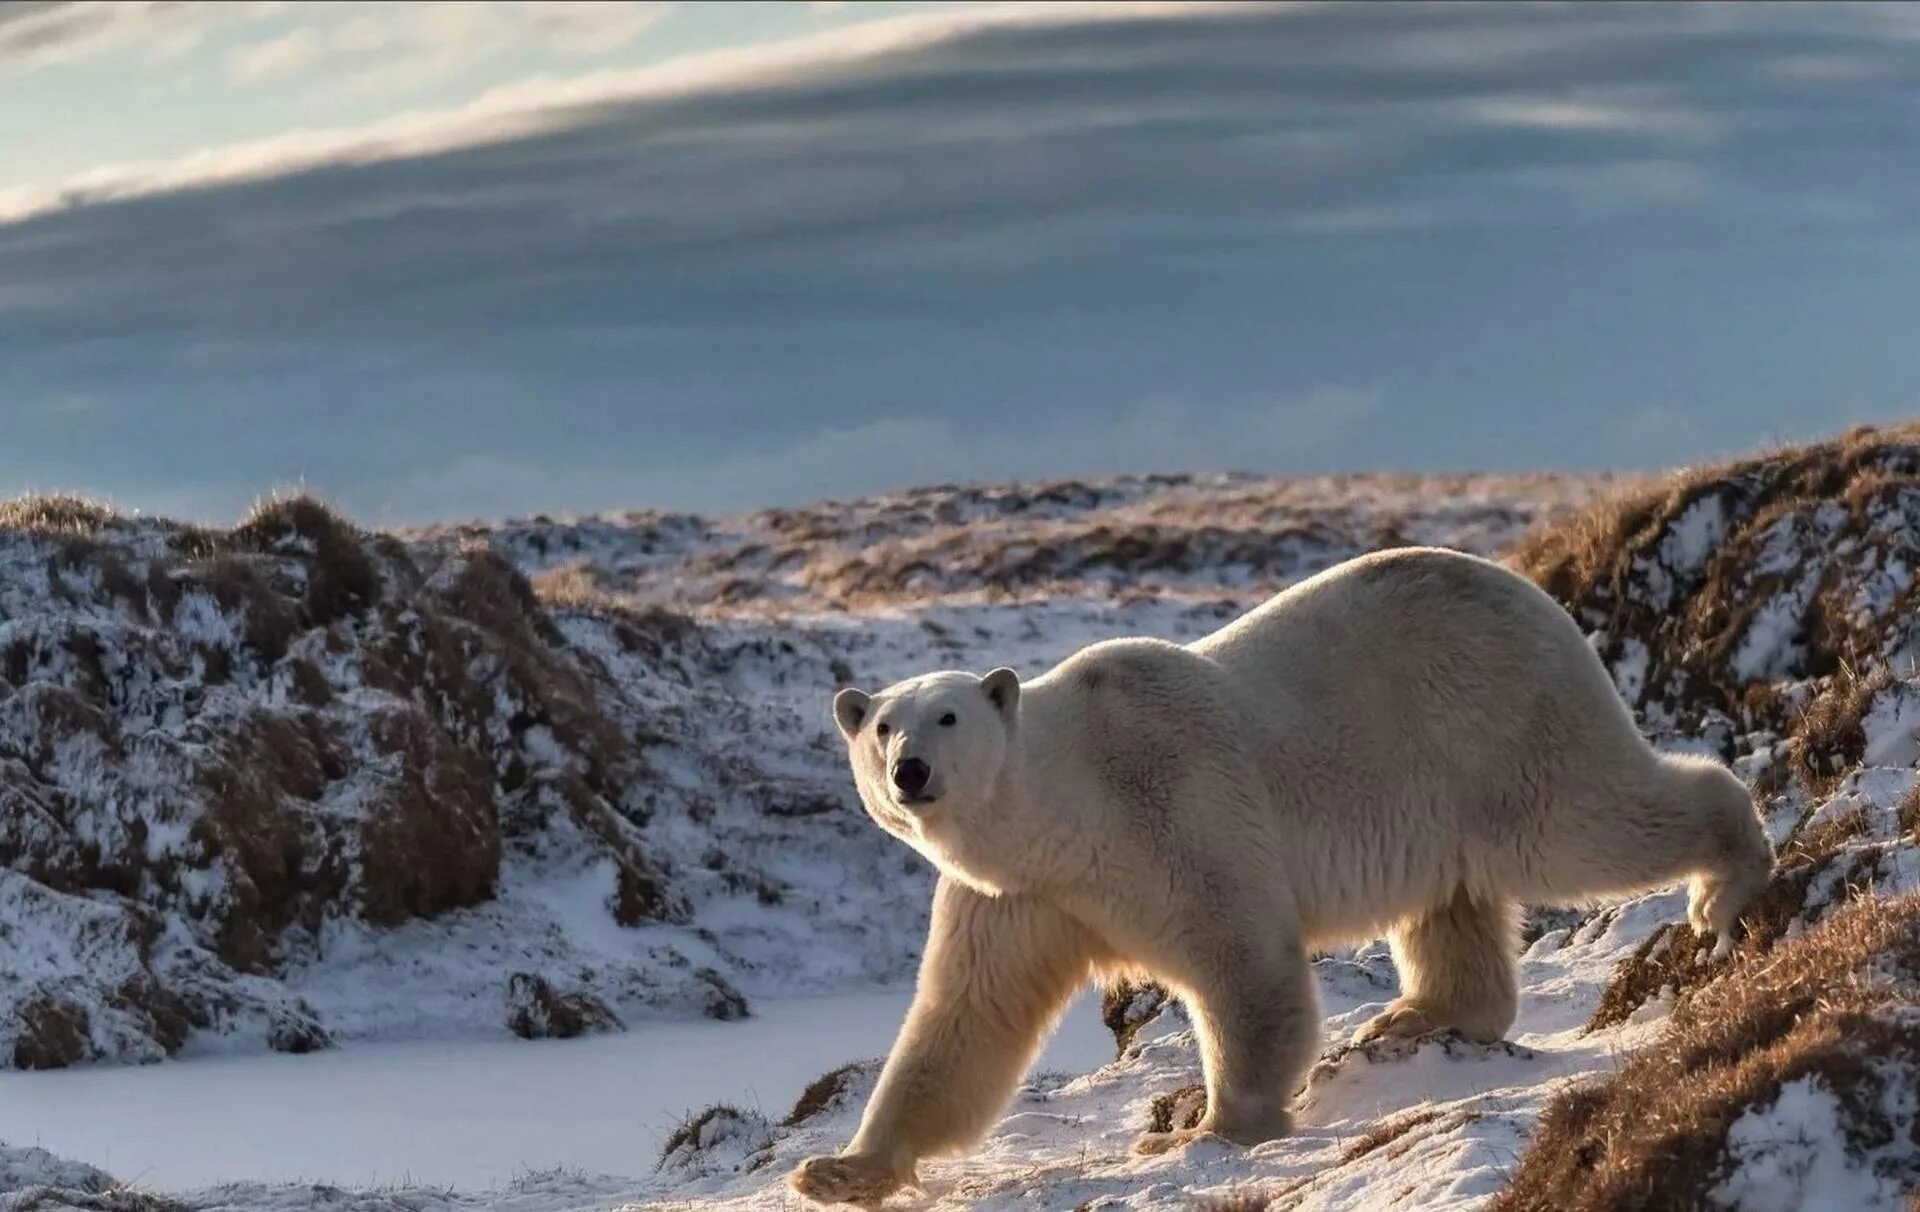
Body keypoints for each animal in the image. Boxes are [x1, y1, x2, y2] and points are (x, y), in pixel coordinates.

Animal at [791, 549, 1766, 1206]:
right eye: (881, 725)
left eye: (949, 716)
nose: (911, 771)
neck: (1070, 805)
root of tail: (1534, 593)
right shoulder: (1022, 895)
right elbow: (965, 1019)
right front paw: (839, 1169)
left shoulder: (1174, 807)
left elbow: (1242, 960)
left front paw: (1213, 1128)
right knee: (1450, 904)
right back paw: (1417, 1017)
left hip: (1494, 722)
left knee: (1582, 821)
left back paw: (1729, 875)